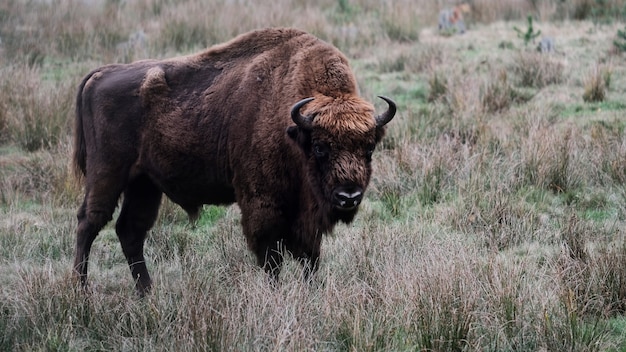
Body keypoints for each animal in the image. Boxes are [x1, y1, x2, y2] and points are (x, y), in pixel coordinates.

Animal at [72, 26, 394, 294]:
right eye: (319, 147)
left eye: (368, 148)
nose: (348, 196)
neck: (293, 127)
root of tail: (100, 74)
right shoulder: (262, 204)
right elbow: (271, 257)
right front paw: (274, 293)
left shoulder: (306, 217)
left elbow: (310, 257)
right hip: (107, 175)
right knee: (89, 222)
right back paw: (81, 290)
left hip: (144, 184)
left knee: (130, 231)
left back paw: (146, 293)